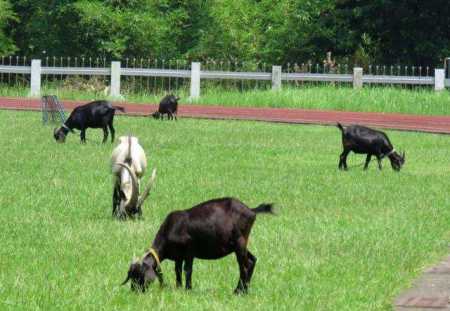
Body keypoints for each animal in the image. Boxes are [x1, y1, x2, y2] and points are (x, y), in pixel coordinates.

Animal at [120, 197, 274, 294]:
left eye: (139, 276)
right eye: (131, 276)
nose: (135, 291)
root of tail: (251, 210)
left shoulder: (189, 251)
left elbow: (187, 270)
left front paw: (188, 289)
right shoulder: (178, 256)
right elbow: (177, 271)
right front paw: (178, 288)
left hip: (240, 242)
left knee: (244, 265)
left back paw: (239, 291)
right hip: (239, 244)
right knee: (252, 260)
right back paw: (245, 289)